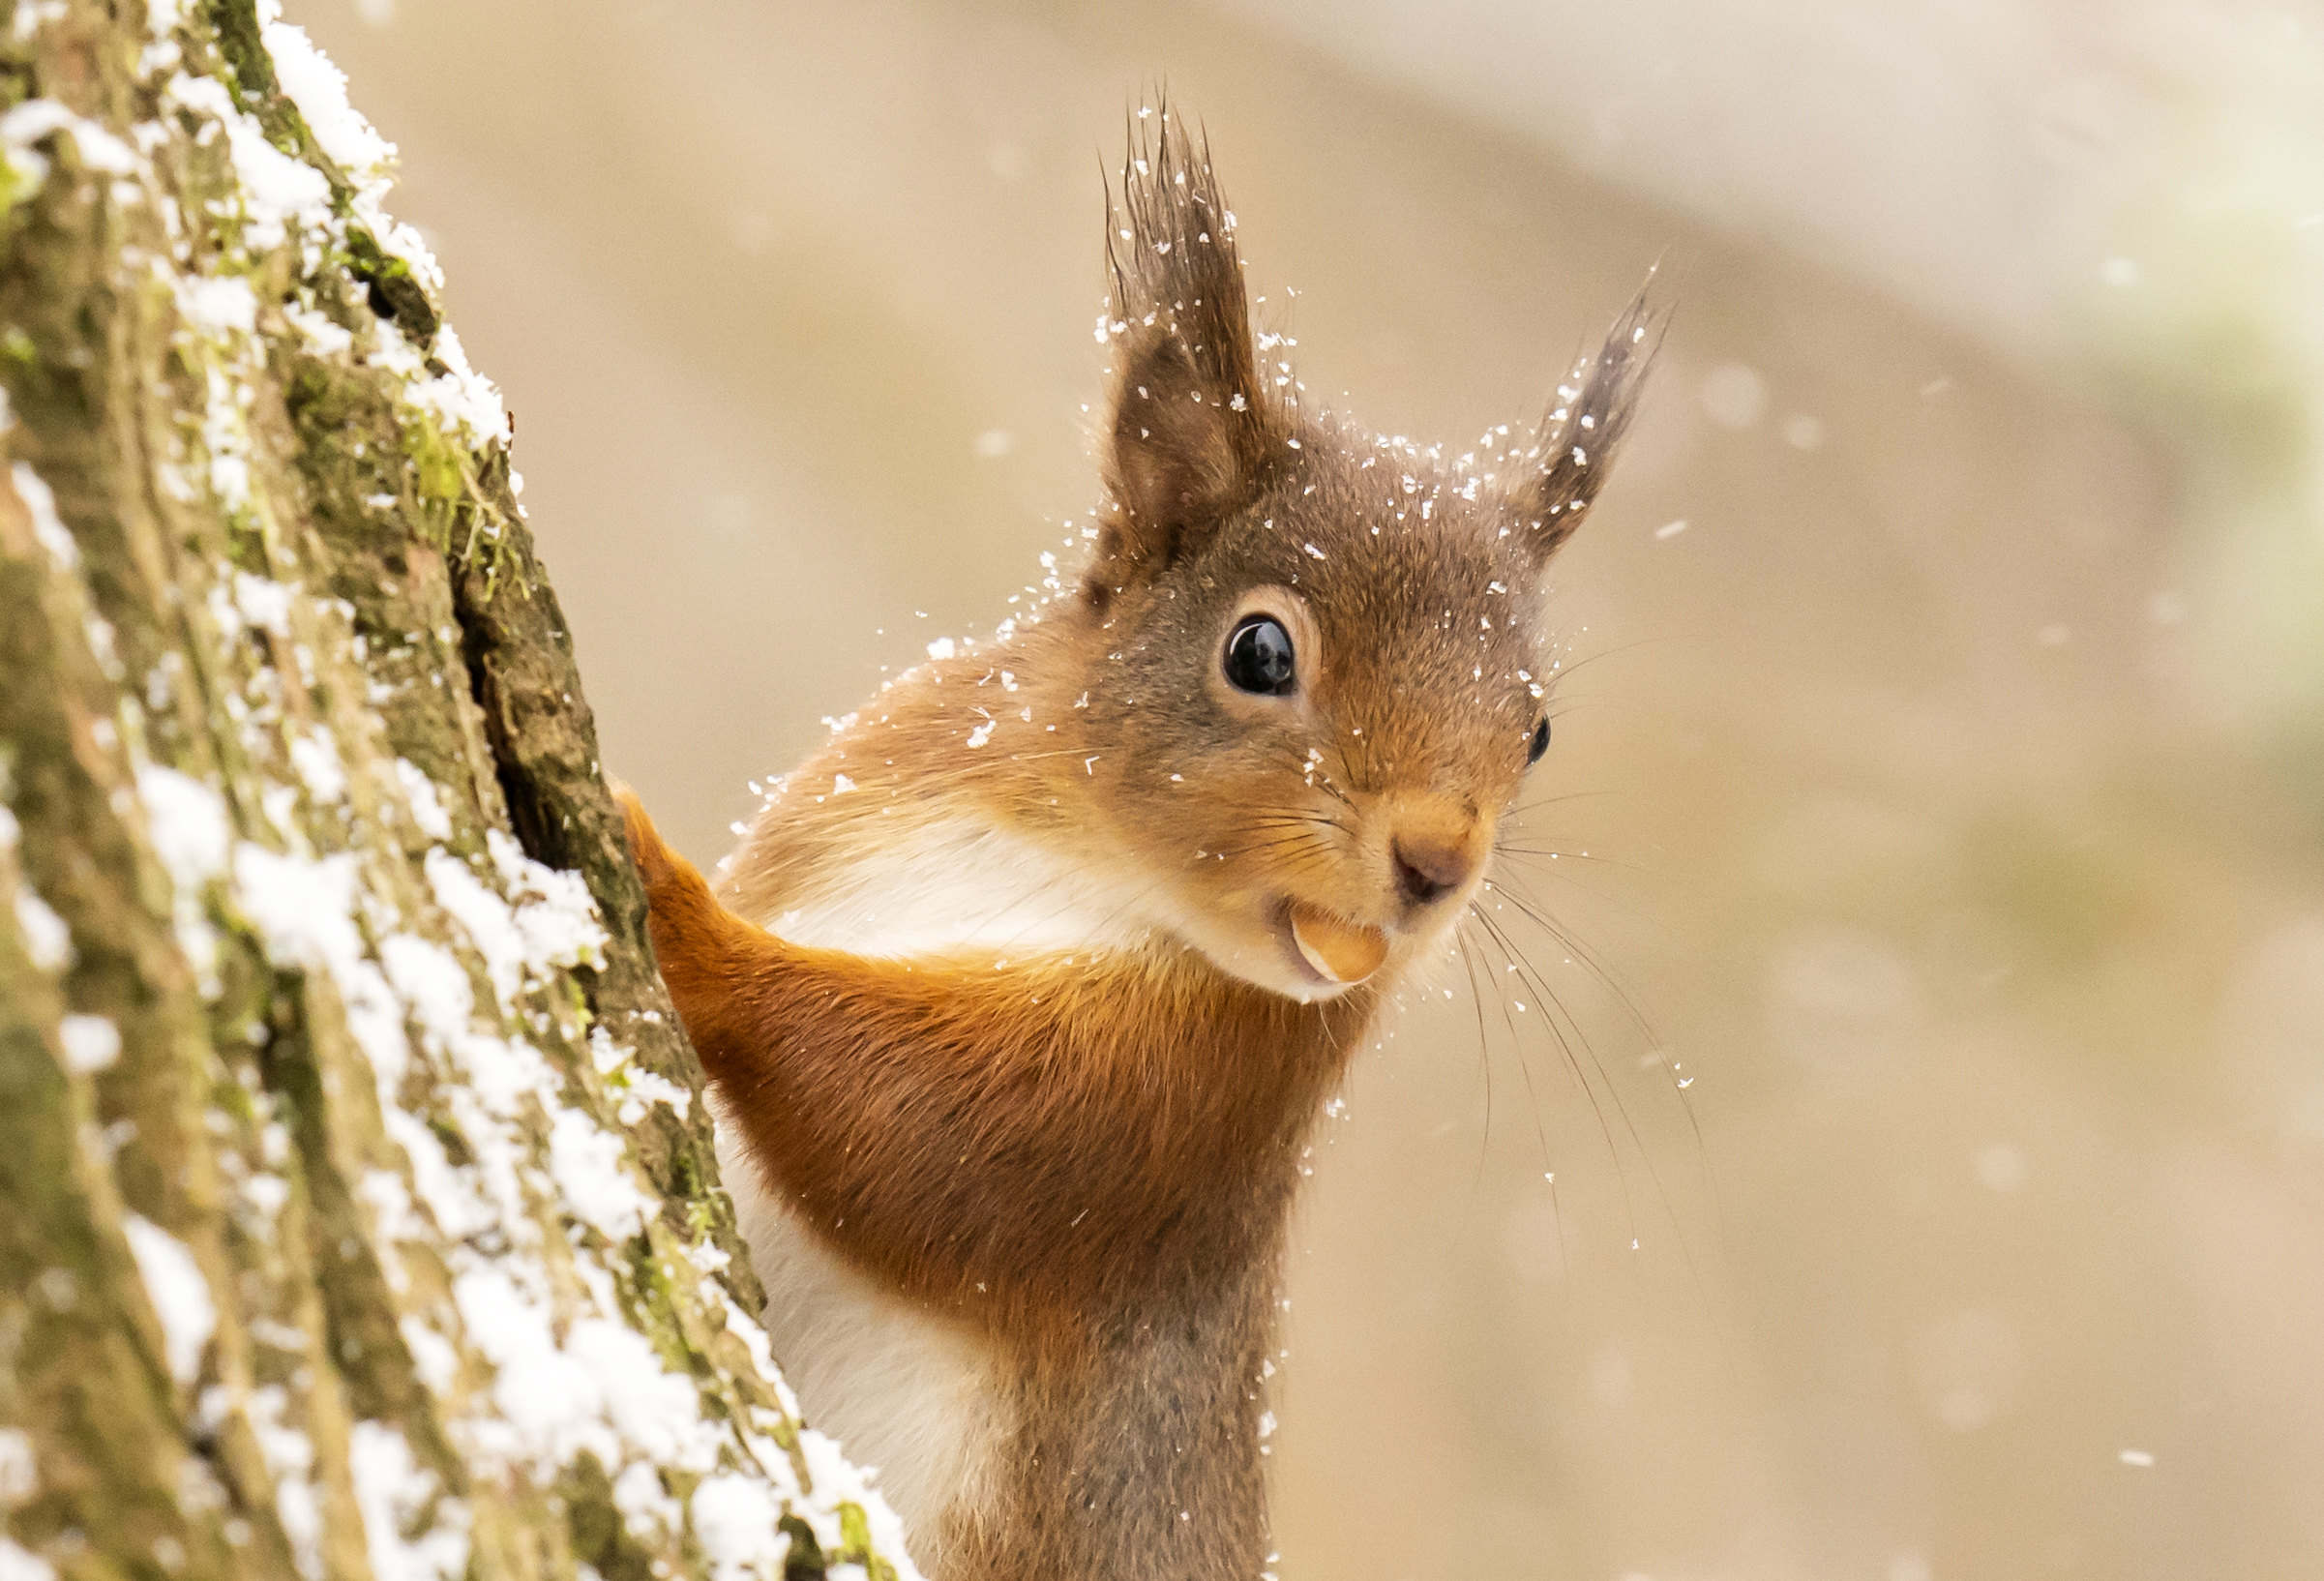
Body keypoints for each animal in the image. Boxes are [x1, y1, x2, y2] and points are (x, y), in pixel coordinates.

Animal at [615, 106, 1653, 1581]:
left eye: (1540, 730)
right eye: (1259, 650)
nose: (1436, 860)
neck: (1073, 852)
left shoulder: (1181, 1111)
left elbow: (916, 1129)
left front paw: (670, 892)